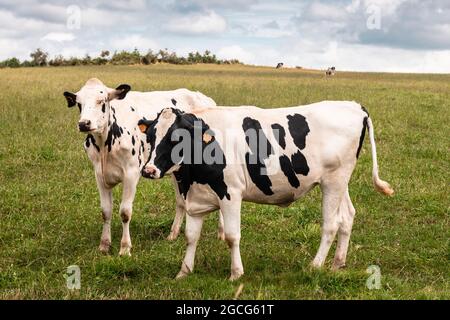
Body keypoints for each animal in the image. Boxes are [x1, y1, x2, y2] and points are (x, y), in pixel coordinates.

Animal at [63, 79, 221, 256]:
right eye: (79, 104)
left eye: (101, 101)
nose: (84, 124)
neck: (105, 145)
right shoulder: (99, 174)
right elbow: (105, 211)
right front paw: (104, 245)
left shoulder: (131, 173)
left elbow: (125, 212)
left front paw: (125, 248)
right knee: (180, 201)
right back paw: (173, 234)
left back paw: (221, 233)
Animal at [138, 102, 394, 280]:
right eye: (150, 136)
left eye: (176, 138)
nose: (148, 170)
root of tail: (355, 106)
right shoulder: (196, 198)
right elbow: (191, 237)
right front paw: (184, 272)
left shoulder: (231, 194)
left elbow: (232, 236)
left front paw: (236, 273)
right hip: (340, 182)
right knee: (347, 217)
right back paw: (337, 264)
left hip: (334, 181)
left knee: (331, 224)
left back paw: (315, 265)